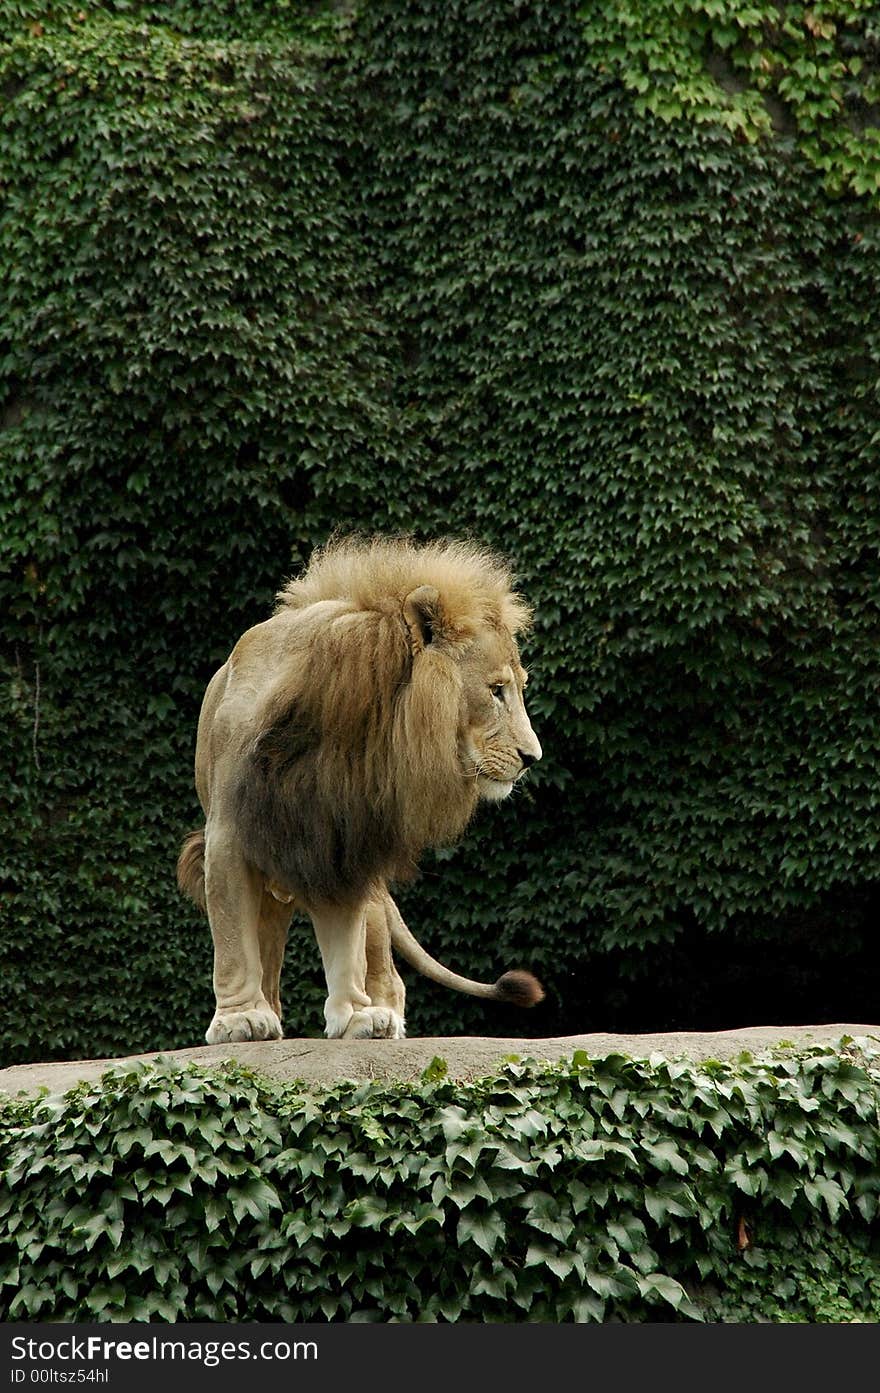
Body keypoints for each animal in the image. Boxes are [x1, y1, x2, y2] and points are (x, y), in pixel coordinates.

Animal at [176, 534, 543, 1047]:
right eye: (496, 691)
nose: (533, 757)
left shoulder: (341, 836)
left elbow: (345, 942)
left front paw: (353, 1015)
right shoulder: (229, 835)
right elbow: (232, 941)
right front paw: (239, 1019)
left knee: (386, 968)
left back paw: (383, 1015)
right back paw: (268, 1015)